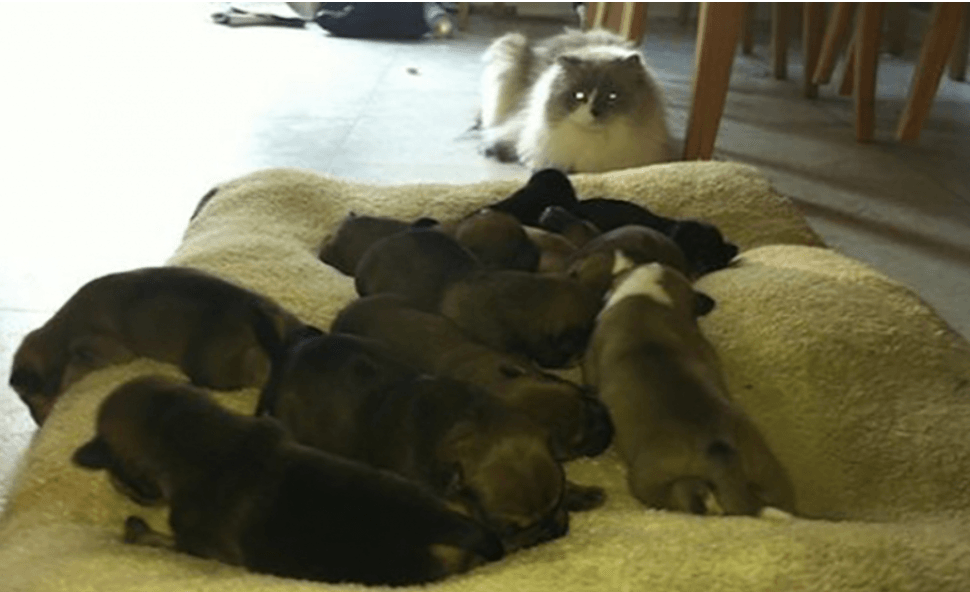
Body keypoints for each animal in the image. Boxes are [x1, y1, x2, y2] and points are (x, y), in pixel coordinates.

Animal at [9, 266, 308, 425]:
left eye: (28, 399)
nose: (39, 426)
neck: (58, 331)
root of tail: (252, 307)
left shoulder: (105, 352)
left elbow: (71, 370)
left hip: (206, 366)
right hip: (282, 325)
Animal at [73, 375, 503, 585]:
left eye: (118, 478)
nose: (119, 489)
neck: (191, 433)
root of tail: (445, 524)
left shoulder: (203, 549)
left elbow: (160, 541)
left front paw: (136, 530)